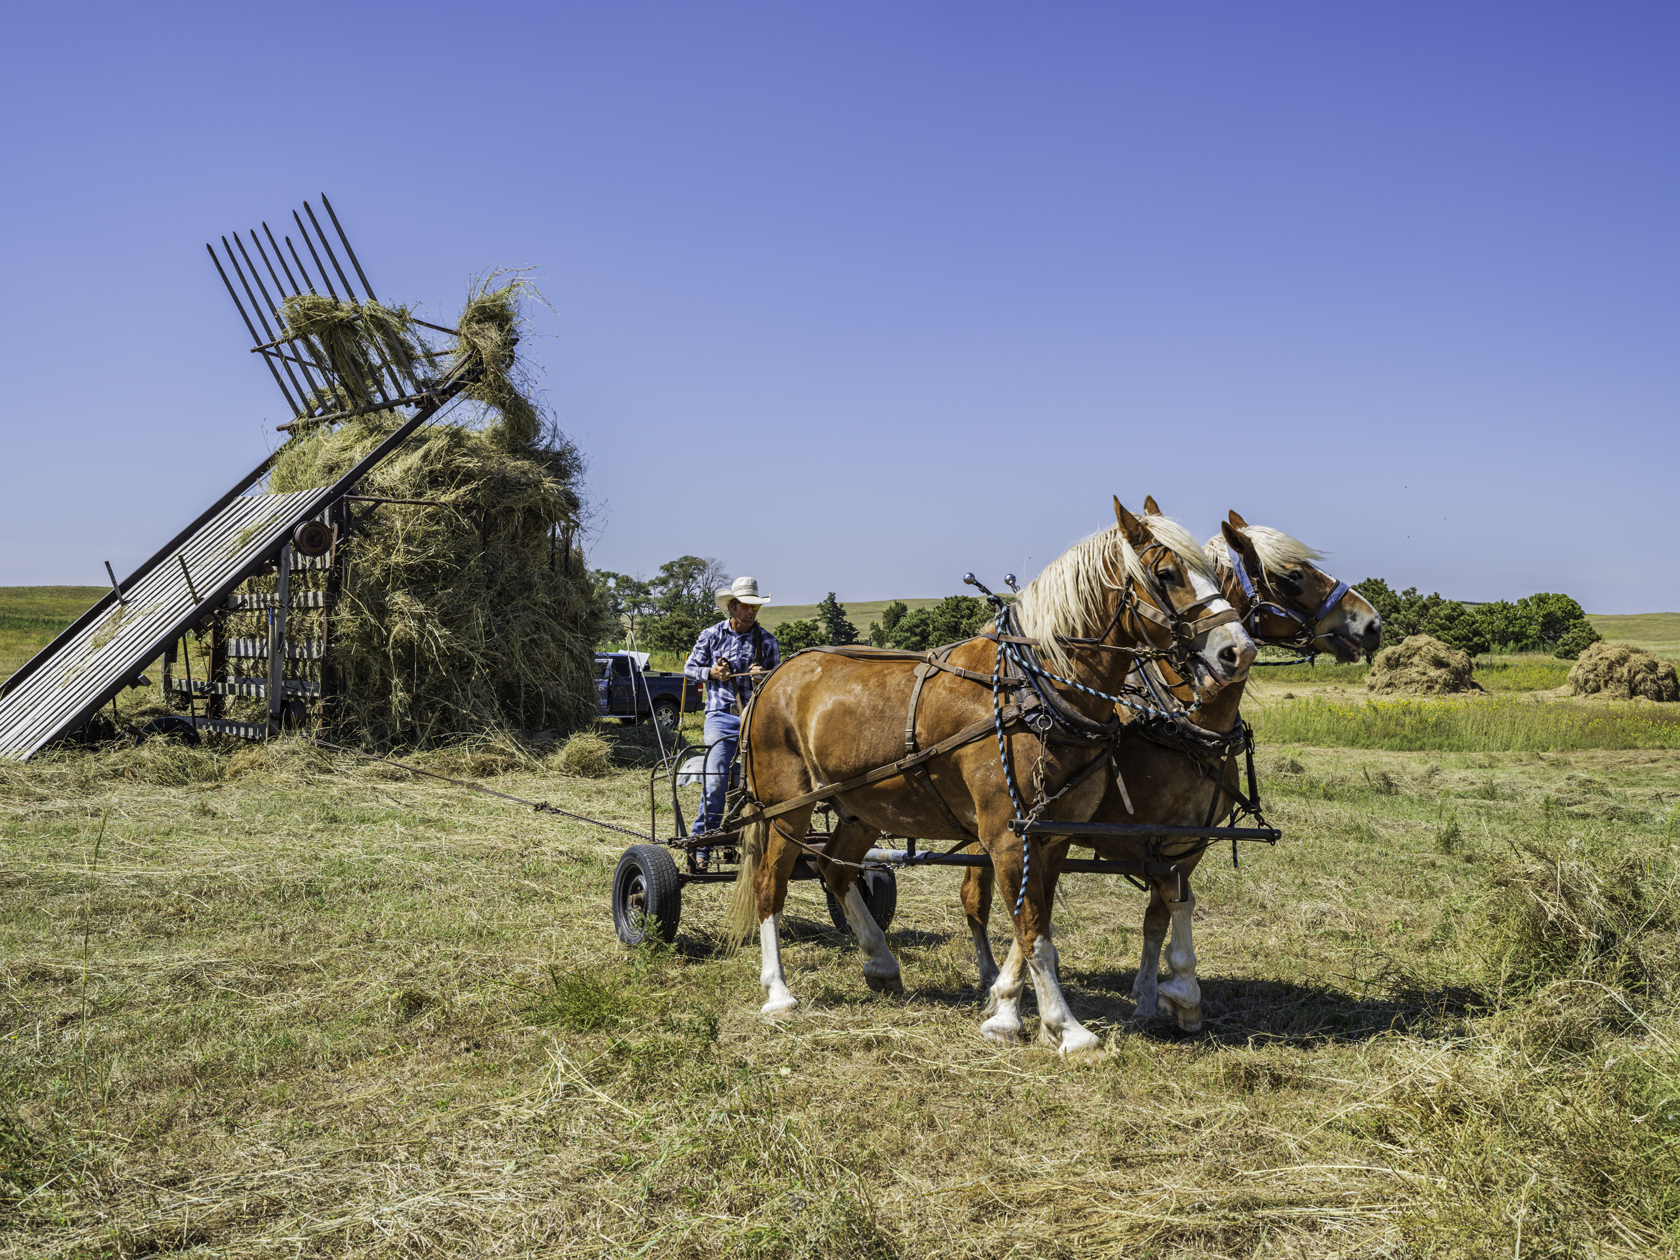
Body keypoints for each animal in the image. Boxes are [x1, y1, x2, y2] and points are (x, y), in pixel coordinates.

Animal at [722, 500, 1263, 1055]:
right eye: (1167, 573)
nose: (1237, 651)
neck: (1035, 688)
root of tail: (773, 677)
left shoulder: (1053, 836)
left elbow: (1040, 926)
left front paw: (1022, 1013)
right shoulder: (1008, 835)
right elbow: (1035, 933)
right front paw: (1065, 1028)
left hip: (862, 808)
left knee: (835, 868)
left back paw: (881, 963)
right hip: (787, 807)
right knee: (770, 885)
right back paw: (778, 993)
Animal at [960, 507, 1377, 1028]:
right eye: (1293, 577)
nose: (1372, 624)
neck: (1180, 721)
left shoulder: (1185, 842)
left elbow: (1161, 914)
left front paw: (1155, 995)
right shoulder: (1128, 835)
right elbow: (1042, 912)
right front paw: (1008, 1000)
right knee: (975, 897)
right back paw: (981, 973)